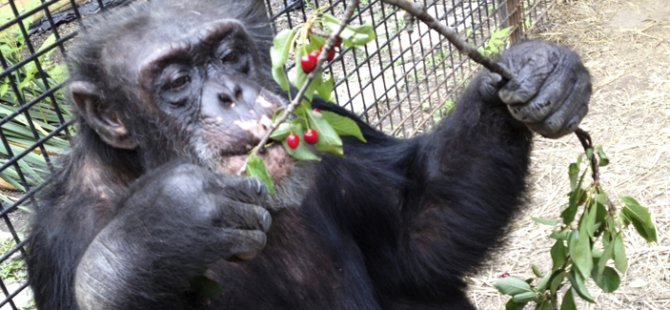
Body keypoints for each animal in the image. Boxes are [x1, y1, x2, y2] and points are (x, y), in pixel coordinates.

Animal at [26, 0, 592, 308]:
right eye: (178, 82)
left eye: (229, 56)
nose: (231, 93)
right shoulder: (62, 236)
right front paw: (160, 231)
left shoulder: (316, 113)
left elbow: (416, 242)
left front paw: (538, 72)